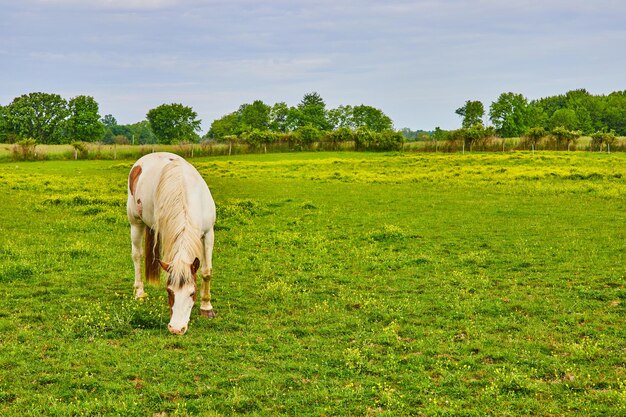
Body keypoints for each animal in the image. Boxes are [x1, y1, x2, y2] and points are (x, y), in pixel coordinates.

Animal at [125, 151, 216, 334]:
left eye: (192, 292)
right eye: (169, 291)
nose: (176, 328)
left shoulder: (209, 233)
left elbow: (206, 272)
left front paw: (206, 307)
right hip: (135, 223)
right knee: (137, 256)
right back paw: (139, 293)